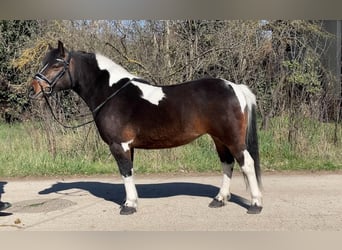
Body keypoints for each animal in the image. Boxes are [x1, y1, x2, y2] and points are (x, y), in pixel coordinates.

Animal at [30, 40, 264, 215]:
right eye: (43, 62)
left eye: (57, 65)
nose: (33, 89)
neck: (111, 93)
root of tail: (234, 87)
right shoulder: (128, 146)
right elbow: (129, 172)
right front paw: (131, 201)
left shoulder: (119, 145)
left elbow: (125, 172)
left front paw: (129, 206)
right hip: (219, 139)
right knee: (227, 164)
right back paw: (220, 199)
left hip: (232, 138)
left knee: (246, 164)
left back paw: (255, 204)